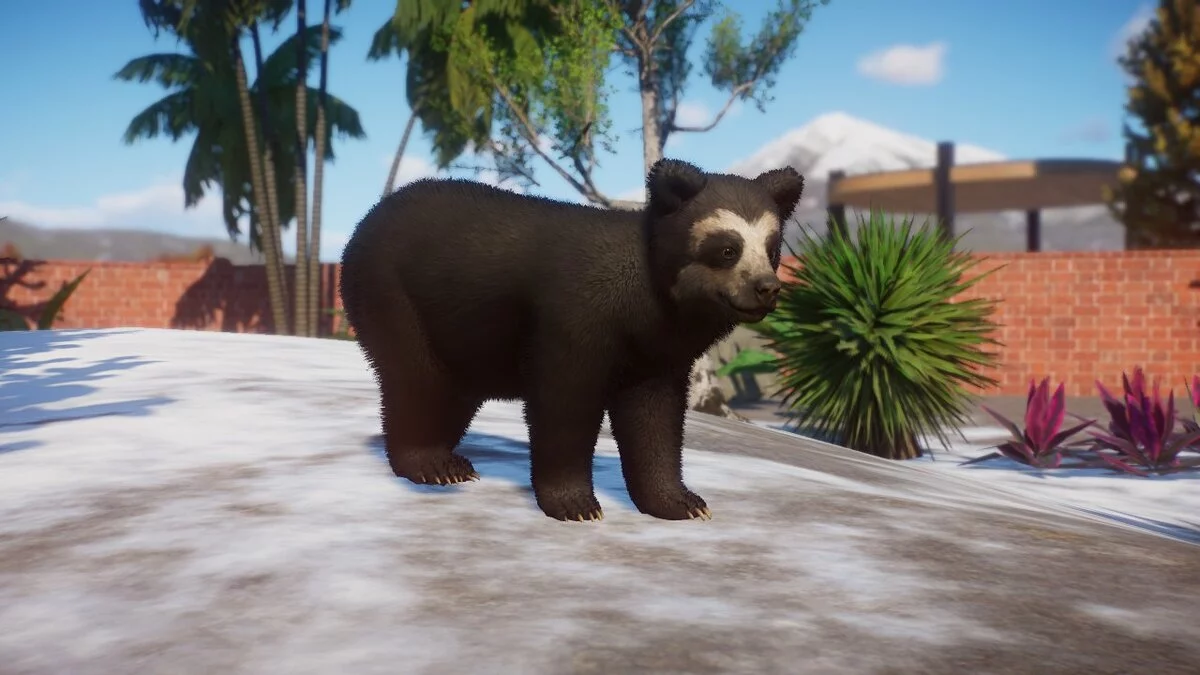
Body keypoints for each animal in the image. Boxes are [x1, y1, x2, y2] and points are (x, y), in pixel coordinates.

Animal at [338, 158, 805, 522]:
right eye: (727, 248)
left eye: (771, 247)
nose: (767, 288)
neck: (655, 305)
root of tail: (371, 216)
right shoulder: (576, 314)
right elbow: (564, 400)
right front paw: (576, 504)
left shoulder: (656, 350)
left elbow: (654, 415)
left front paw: (682, 502)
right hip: (393, 293)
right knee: (417, 378)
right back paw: (432, 464)